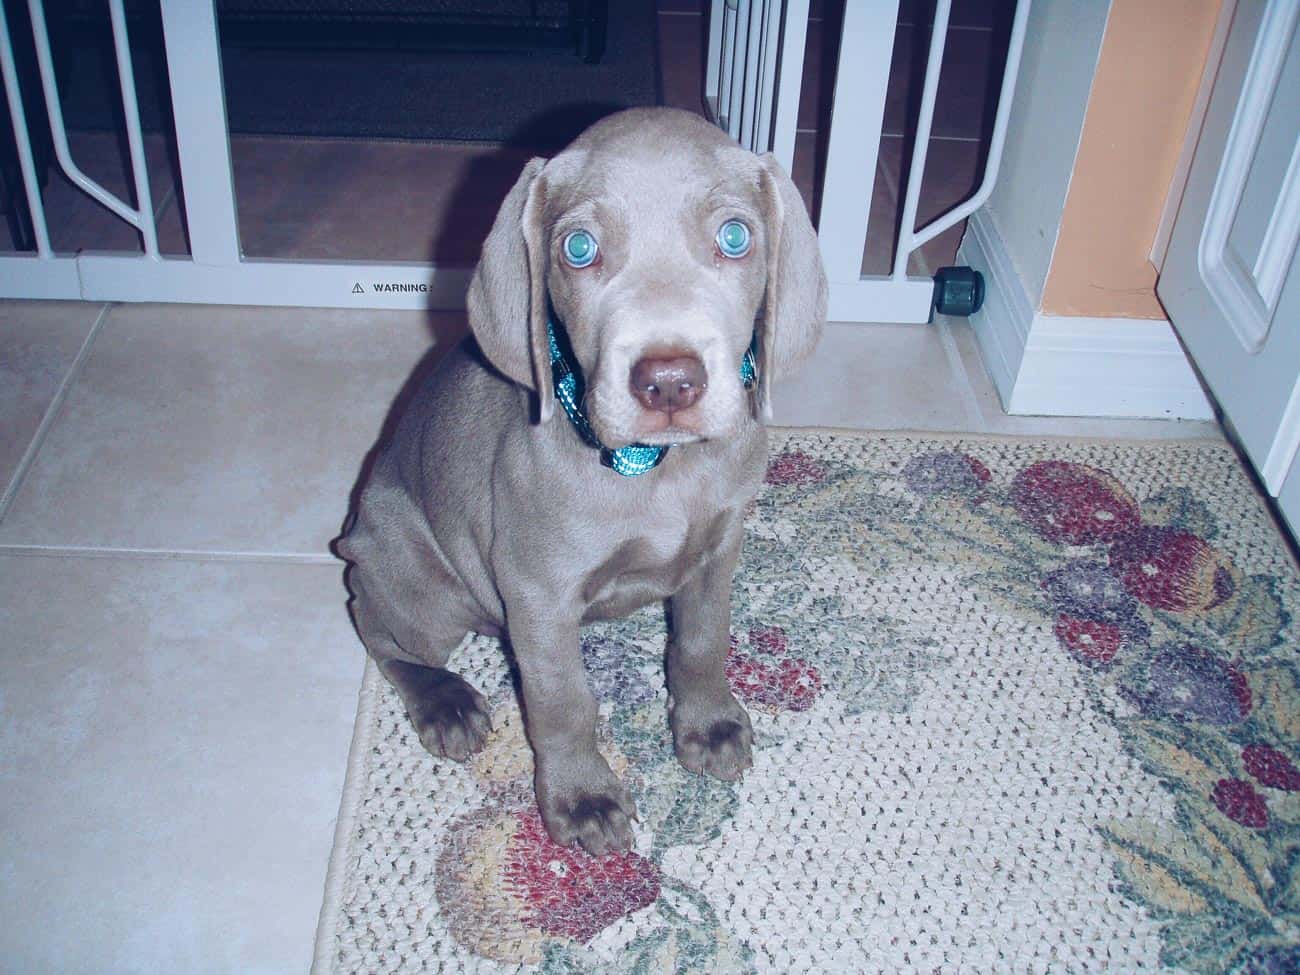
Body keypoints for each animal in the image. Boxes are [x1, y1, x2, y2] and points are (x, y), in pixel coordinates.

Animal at [340, 106, 826, 852]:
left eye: (735, 236)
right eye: (577, 248)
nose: (668, 382)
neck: (659, 471)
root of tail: (355, 530)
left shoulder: (719, 548)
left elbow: (703, 638)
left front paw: (708, 722)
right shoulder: (538, 592)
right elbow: (563, 698)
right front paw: (582, 797)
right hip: (422, 587)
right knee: (375, 624)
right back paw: (445, 702)